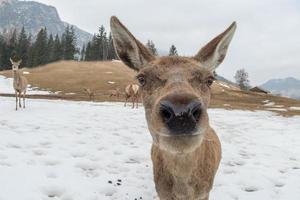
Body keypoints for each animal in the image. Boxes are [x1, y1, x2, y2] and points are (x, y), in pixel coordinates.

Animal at [110, 16, 237, 199]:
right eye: (142, 78)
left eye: (209, 80)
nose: (181, 112)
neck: (183, 192)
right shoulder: (162, 192)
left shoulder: (205, 192)